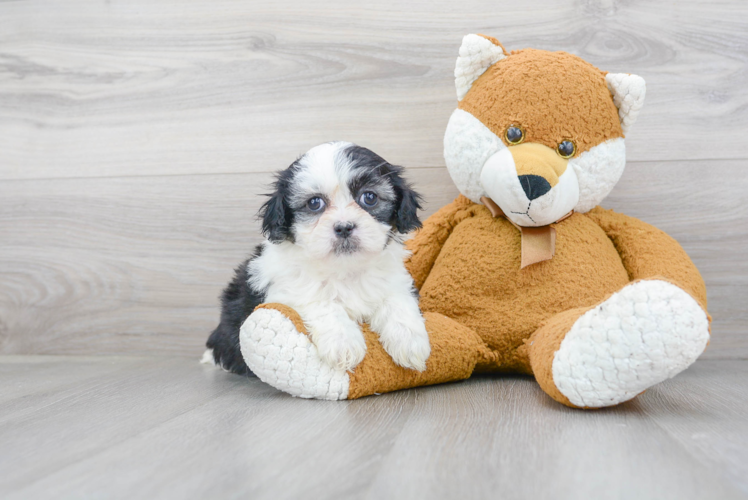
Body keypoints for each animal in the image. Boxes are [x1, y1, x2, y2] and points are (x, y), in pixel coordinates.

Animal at [203, 141, 432, 376]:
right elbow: (321, 301)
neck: (344, 269)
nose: (344, 227)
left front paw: (410, 342)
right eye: (314, 203)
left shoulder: (395, 282)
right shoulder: (287, 290)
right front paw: (344, 343)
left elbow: (397, 301)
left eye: (369, 197)